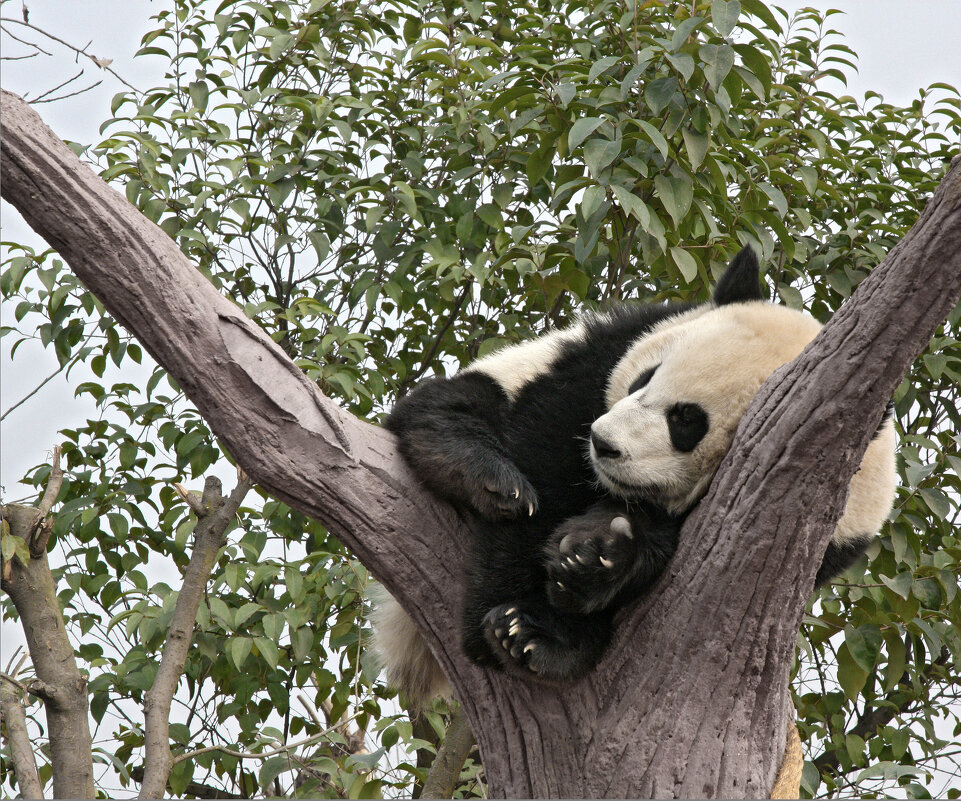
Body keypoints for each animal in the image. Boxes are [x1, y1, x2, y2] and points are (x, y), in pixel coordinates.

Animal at [372, 248, 896, 700]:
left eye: (686, 422)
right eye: (645, 379)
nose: (602, 444)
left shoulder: (824, 542)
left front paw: (582, 572)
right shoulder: (605, 358)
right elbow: (546, 458)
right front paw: (506, 621)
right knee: (459, 400)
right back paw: (471, 464)